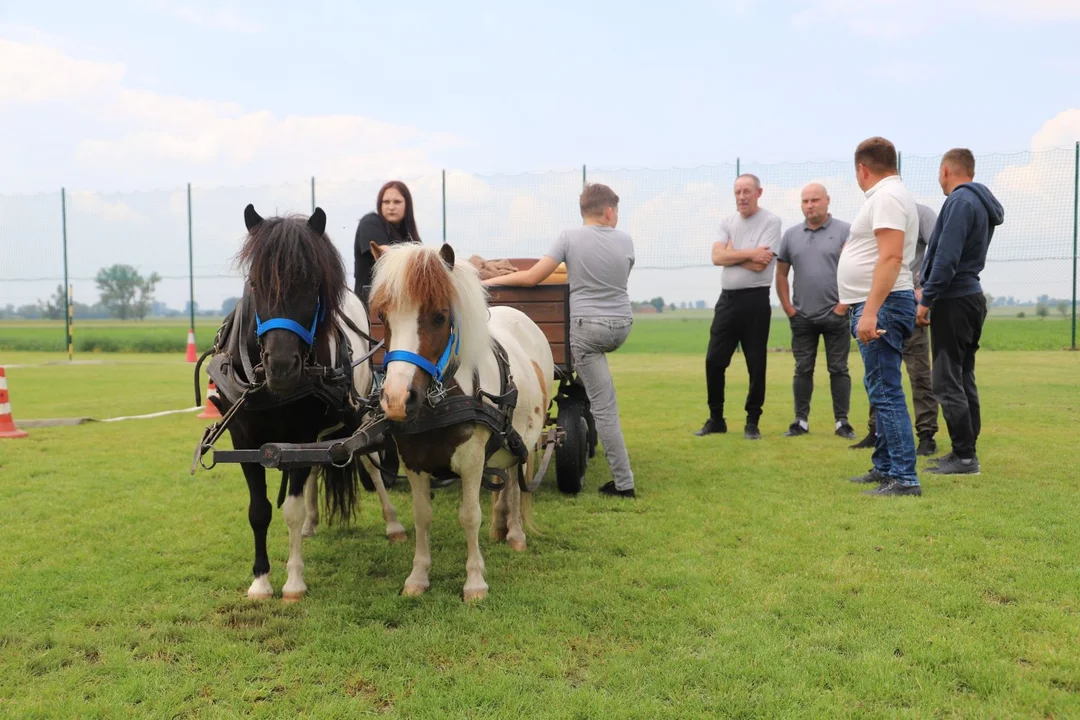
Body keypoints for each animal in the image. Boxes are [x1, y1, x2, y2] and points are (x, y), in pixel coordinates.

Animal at [201, 205, 406, 604]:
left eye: (313, 286)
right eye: (255, 284)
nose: (282, 365)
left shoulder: (302, 435)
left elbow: (291, 511)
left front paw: (294, 581)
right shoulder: (243, 440)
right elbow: (259, 510)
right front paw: (261, 580)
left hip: (355, 416)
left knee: (370, 464)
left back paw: (392, 524)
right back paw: (313, 522)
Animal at [371, 241, 557, 604]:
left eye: (440, 317)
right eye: (383, 317)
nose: (397, 400)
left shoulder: (471, 460)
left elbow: (470, 516)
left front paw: (474, 582)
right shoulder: (413, 462)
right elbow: (422, 516)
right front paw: (418, 577)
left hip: (524, 441)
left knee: (516, 483)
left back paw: (515, 533)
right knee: (504, 477)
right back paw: (500, 525)